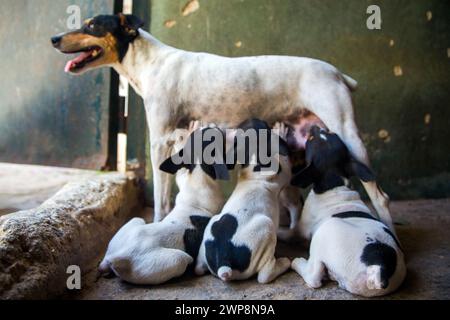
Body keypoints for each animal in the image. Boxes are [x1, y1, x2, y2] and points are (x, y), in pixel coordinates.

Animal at [98, 122, 229, 284]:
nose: (212, 125)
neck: (200, 176)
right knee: (183, 261)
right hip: (179, 260)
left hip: (135, 221)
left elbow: (180, 174)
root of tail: (118, 257)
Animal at [195, 119, 294, 284]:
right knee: (265, 274)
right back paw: (283, 263)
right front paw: (281, 131)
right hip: (266, 227)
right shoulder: (285, 170)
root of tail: (224, 263)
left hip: (212, 224)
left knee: (198, 268)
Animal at [290, 125, 406, 298]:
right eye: (330, 133)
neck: (335, 183)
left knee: (314, 277)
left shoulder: (300, 230)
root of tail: (379, 268)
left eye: (310, 139)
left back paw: (298, 263)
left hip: (325, 232)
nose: (316, 126)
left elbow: (287, 232)